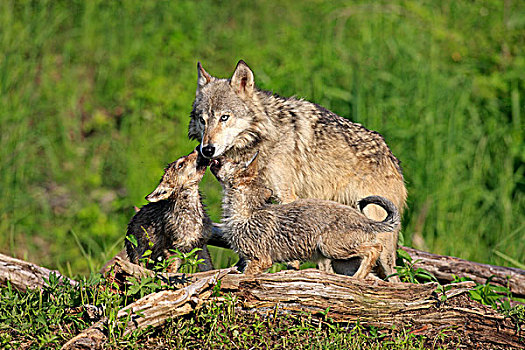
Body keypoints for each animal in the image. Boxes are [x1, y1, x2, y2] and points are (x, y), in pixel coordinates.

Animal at [188, 59, 406, 278]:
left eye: (224, 117)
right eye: (203, 120)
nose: (207, 150)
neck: (260, 139)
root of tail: (390, 155)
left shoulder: (285, 195)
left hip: (378, 243)